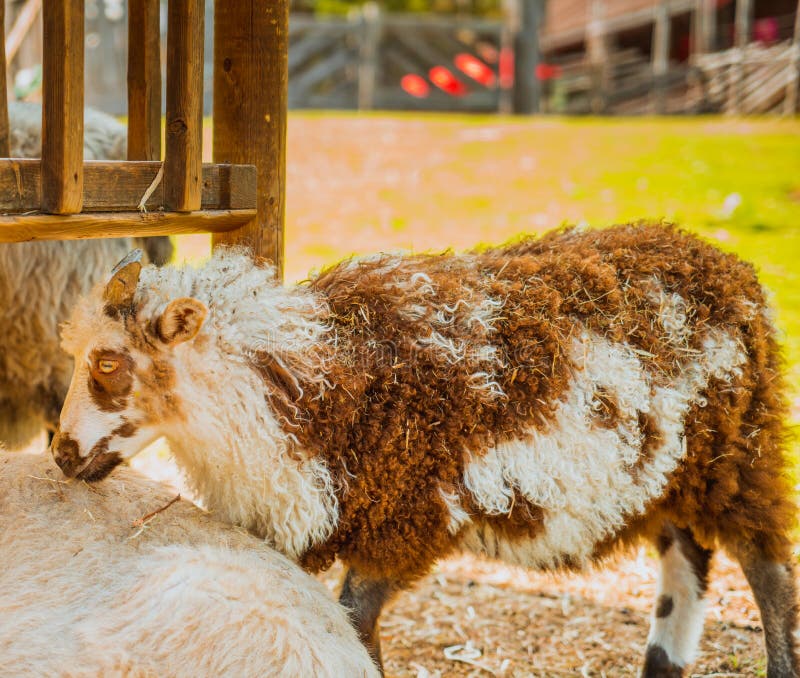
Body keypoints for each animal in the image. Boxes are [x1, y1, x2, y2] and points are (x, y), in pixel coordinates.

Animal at [51, 222, 798, 677]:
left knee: (766, 572)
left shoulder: (404, 521)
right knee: (689, 562)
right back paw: (662, 663)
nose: (60, 452)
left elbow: (355, 621)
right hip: (672, 474)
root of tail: (729, 266)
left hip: (742, 458)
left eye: (109, 364)